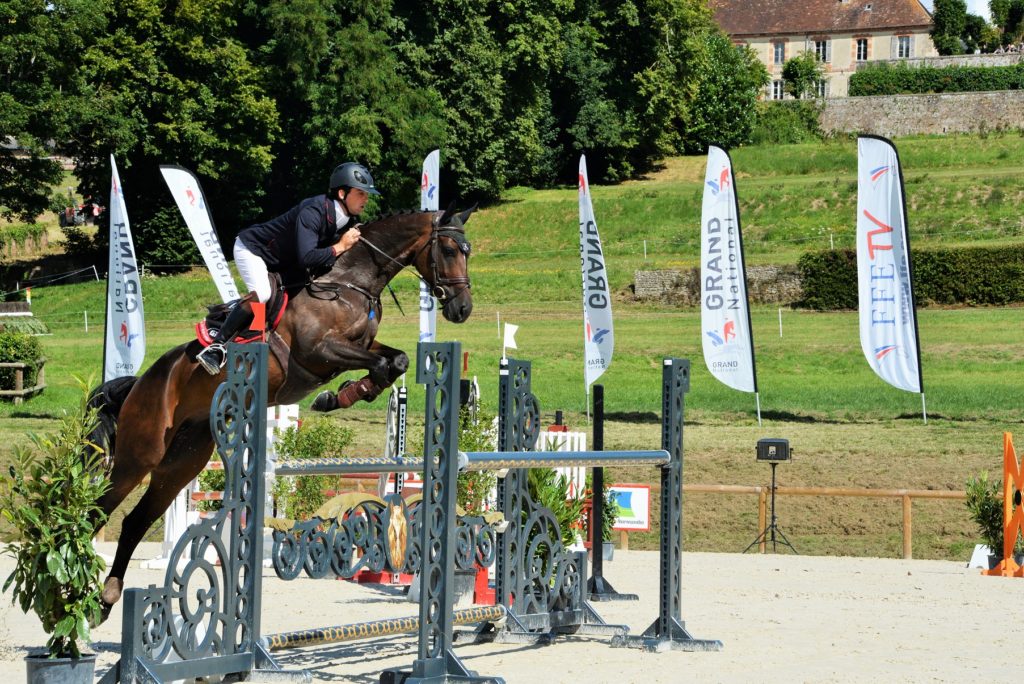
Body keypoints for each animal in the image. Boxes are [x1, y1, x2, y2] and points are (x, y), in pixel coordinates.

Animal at [88, 204, 475, 614]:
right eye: (450, 250)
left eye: (467, 251)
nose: (462, 308)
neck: (349, 283)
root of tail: (139, 382)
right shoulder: (321, 351)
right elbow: (383, 364)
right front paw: (337, 395)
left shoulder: (360, 347)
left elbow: (396, 362)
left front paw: (341, 396)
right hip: (140, 455)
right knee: (101, 507)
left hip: (180, 463)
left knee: (135, 521)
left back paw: (107, 595)